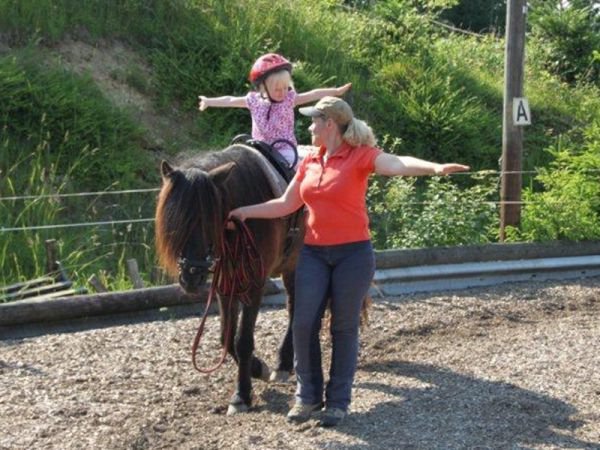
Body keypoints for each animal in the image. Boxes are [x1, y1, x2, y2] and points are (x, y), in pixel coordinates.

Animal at [154, 144, 303, 415]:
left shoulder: (255, 284)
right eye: (175, 221)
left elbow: (242, 341)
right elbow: (226, 336)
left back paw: (284, 363)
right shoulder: (225, 284)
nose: (191, 276)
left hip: (294, 263)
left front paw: (241, 395)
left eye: (208, 219)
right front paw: (257, 368)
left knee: (295, 306)